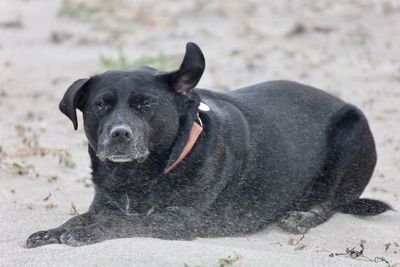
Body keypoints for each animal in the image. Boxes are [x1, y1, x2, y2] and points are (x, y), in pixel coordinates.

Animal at [26, 42, 390, 249]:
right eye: (101, 105)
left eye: (145, 104)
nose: (119, 134)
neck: (140, 177)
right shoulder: (105, 205)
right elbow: (83, 218)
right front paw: (53, 232)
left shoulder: (178, 220)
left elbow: (121, 223)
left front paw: (85, 234)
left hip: (353, 133)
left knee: (333, 201)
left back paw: (303, 216)